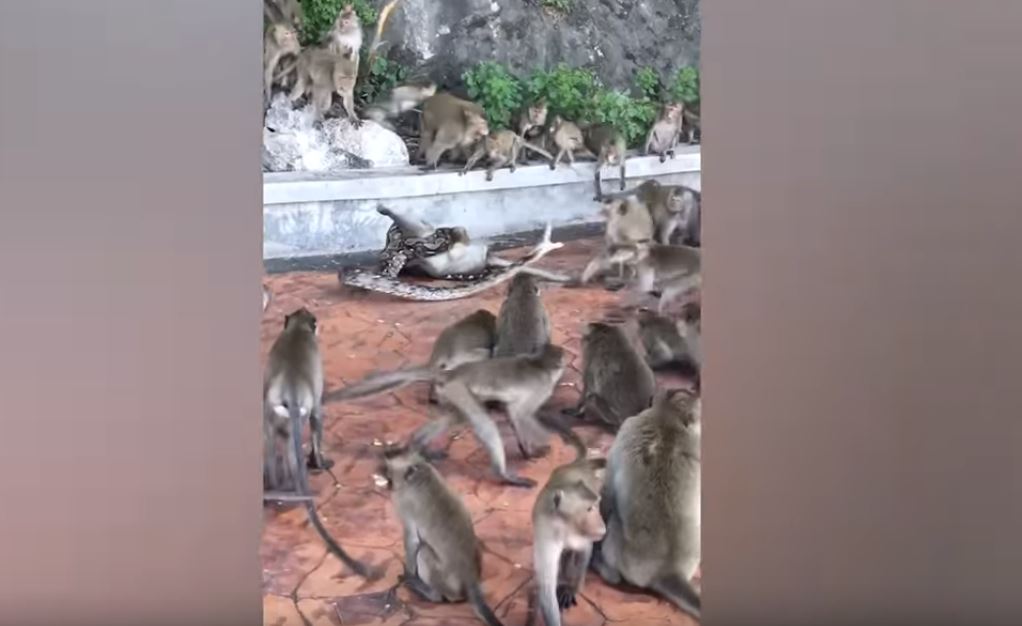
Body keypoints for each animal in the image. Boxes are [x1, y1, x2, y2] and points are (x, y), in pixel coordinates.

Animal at [262, 308, 381, 580]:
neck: (297, 330)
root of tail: (291, 387)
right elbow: (318, 418)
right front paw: (319, 461)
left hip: (272, 409)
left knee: (273, 441)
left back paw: (276, 485)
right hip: (299, 409)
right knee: (294, 440)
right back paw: (293, 484)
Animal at [326, 343, 569, 488]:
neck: (540, 364)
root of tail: (452, 373)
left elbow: (513, 414)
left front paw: (527, 451)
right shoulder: (541, 388)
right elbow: (520, 414)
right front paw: (535, 448)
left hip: (450, 393)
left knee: (454, 417)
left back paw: (417, 445)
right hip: (458, 389)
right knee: (482, 420)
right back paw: (503, 475)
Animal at [378, 445, 505, 626]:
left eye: (389, 472)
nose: (387, 483)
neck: (420, 474)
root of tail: (471, 579)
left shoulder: (403, 501)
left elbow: (413, 540)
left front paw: (409, 574)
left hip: (446, 582)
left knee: (424, 551)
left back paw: (428, 592)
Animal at [528, 440, 608, 626]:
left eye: (596, 505)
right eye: (589, 509)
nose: (602, 527)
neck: (563, 528)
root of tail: (578, 464)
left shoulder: (582, 534)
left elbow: (584, 551)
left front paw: (571, 589)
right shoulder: (545, 531)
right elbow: (546, 586)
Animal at [590, 387, 702, 620]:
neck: (669, 418)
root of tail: (668, 570)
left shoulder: (629, 425)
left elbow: (608, 491)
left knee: (614, 519)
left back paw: (605, 568)